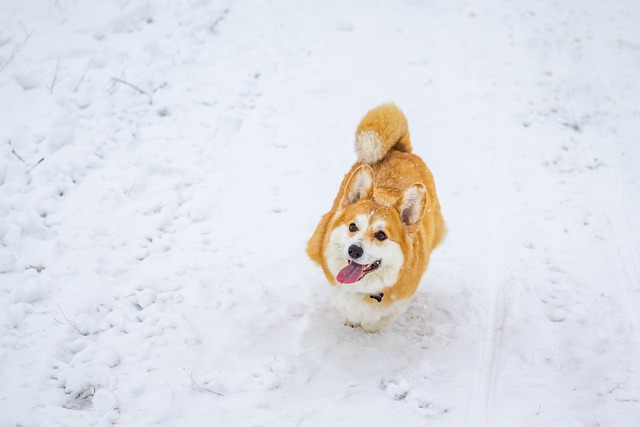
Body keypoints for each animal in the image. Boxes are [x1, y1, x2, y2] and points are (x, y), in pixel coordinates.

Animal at [308, 105, 448, 332]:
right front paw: (351, 319)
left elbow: (384, 317)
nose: (354, 250)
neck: (363, 288)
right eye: (352, 227)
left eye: (381, 235)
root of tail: (398, 150)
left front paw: (369, 327)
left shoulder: (402, 295)